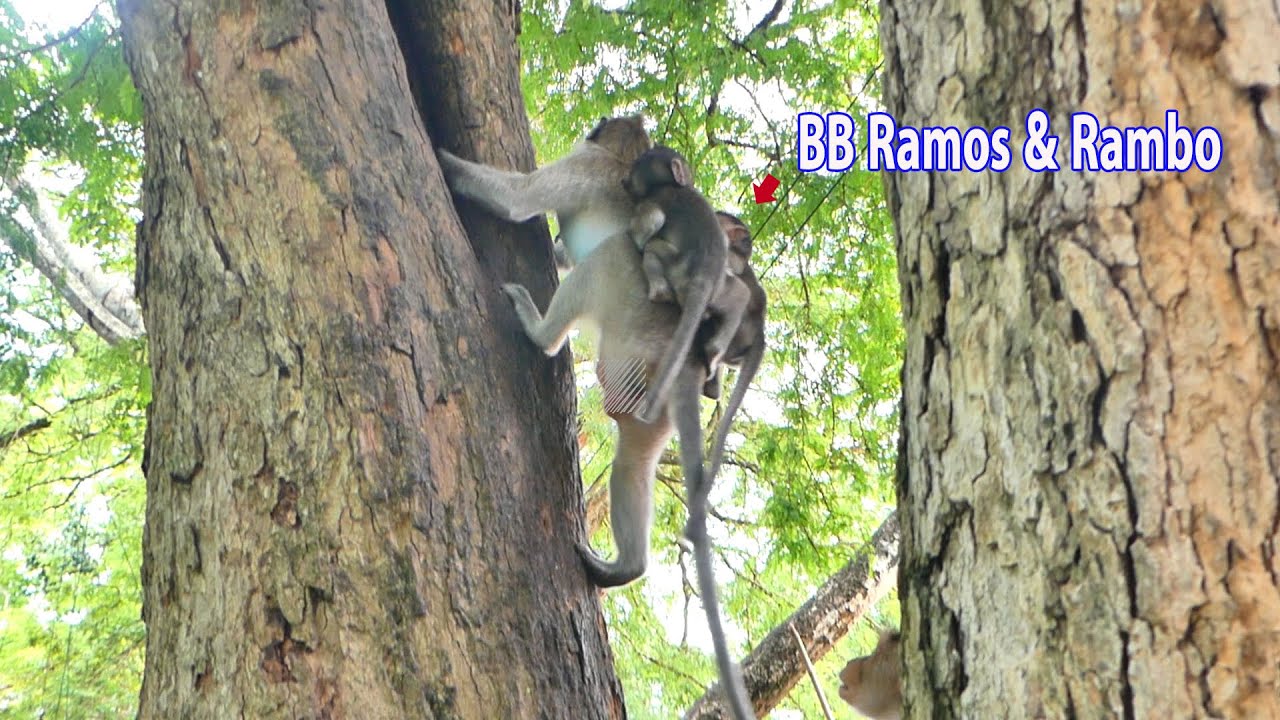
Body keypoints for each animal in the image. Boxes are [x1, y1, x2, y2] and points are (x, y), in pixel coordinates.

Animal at [620, 147, 750, 425]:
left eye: (638, 165)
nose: (624, 180)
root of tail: (704, 280)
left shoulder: (656, 198)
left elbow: (652, 221)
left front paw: (636, 236)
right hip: (719, 291)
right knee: (740, 296)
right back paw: (714, 353)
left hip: (677, 270)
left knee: (653, 246)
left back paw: (659, 291)